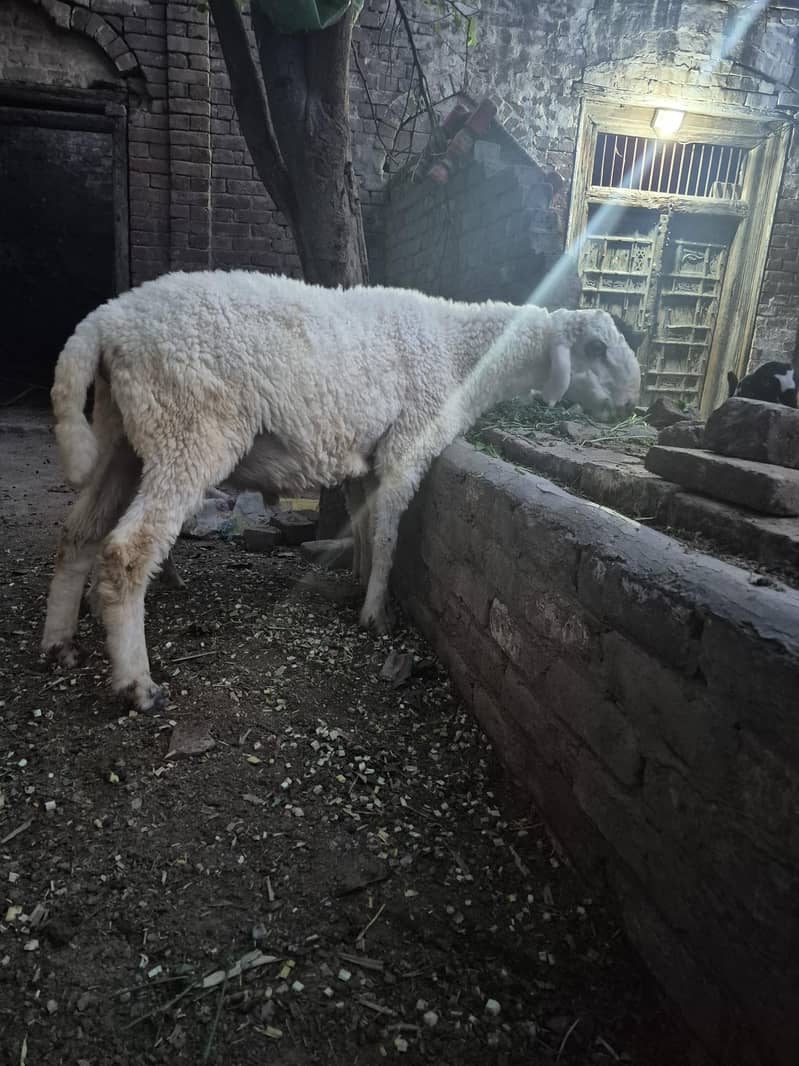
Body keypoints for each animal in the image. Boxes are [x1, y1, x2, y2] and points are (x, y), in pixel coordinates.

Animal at [42, 269, 640, 712]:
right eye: (596, 348)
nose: (633, 401)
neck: (459, 355)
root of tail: (107, 320)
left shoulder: (367, 461)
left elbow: (369, 527)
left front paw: (357, 582)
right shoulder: (406, 447)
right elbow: (391, 535)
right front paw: (376, 615)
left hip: (121, 435)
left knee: (77, 535)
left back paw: (60, 642)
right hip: (187, 426)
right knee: (125, 553)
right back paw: (138, 685)